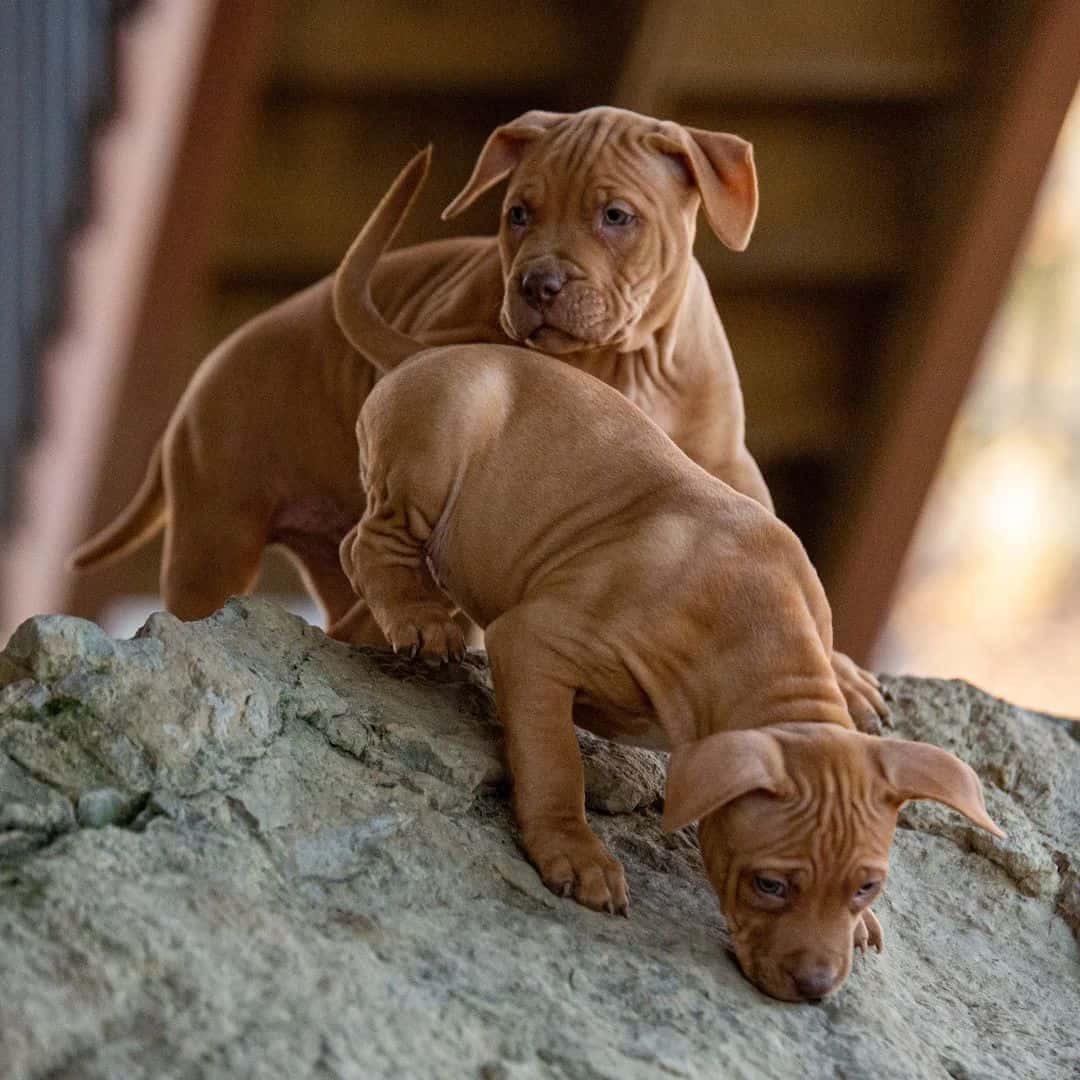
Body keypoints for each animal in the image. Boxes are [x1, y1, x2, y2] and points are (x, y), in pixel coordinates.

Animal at [330, 154, 1002, 1002]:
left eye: (865, 885)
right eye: (770, 884)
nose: (817, 988)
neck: (758, 639)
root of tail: (427, 349)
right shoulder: (533, 644)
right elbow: (553, 762)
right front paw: (575, 851)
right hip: (442, 440)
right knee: (367, 544)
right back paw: (420, 614)